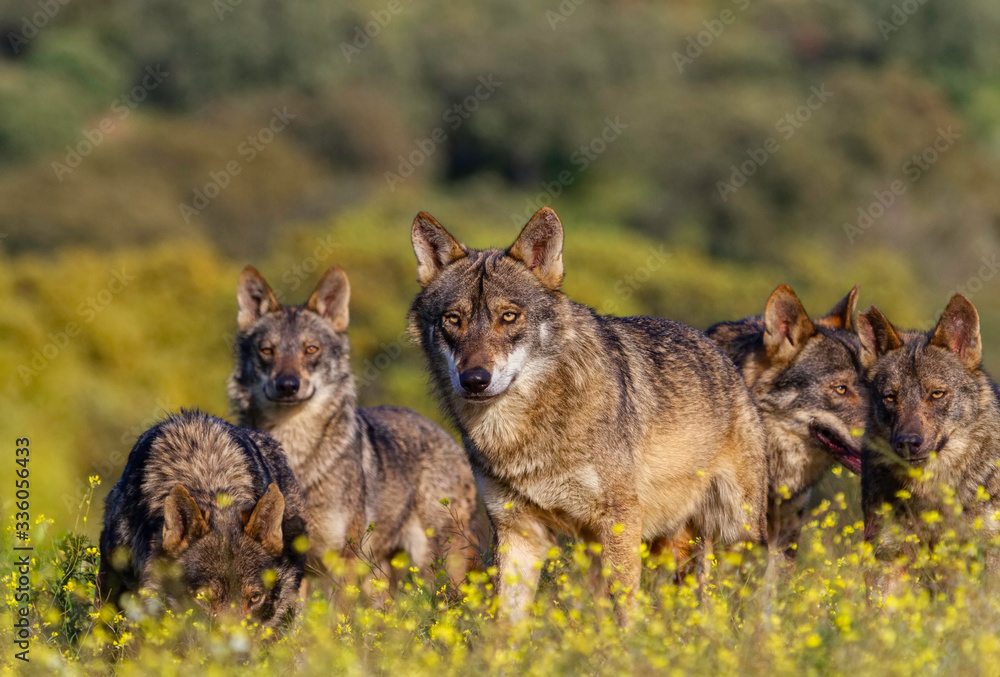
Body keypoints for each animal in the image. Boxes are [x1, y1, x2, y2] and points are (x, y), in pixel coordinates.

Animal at [229, 262, 478, 584]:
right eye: (267, 350)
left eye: (311, 349)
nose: (287, 386)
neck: (294, 450)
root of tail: (449, 439)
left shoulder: (343, 560)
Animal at [406, 207, 764, 624]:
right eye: (453, 319)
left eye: (508, 316)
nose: (475, 380)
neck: (521, 434)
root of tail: (718, 349)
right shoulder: (517, 531)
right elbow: (506, 625)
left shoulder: (619, 521)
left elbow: (625, 612)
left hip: (737, 530)